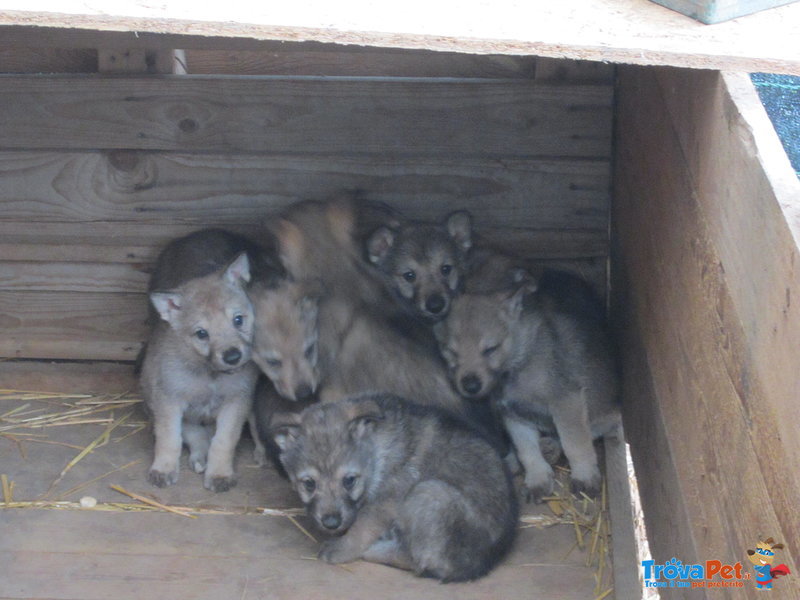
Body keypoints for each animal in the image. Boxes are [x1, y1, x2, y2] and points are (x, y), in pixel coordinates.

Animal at [140, 230, 272, 492]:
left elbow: (224, 440)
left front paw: (219, 473)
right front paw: (163, 469)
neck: (210, 374)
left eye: (238, 319)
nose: (233, 356)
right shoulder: (168, 399)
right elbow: (170, 438)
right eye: (202, 334)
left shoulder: (237, 400)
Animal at [268, 394, 520, 580]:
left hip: (429, 493)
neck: (376, 451)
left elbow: (361, 528)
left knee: (416, 560)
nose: (331, 523)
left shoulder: (386, 502)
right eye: (309, 484)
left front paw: (340, 549)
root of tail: (478, 565)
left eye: (349, 480)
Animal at [434, 268, 620, 502]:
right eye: (451, 352)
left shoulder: (566, 401)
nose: (470, 385)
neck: (519, 364)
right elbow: (526, 448)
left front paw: (584, 476)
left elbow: (575, 443)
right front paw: (537, 478)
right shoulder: (512, 413)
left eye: (491, 349)